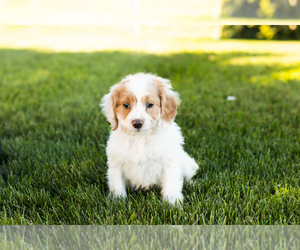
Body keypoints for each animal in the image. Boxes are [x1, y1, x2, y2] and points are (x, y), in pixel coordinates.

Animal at [101, 73, 199, 205]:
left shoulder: (169, 162)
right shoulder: (116, 164)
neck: (140, 138)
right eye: (126, 105)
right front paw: (117, 201)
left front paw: (173, 204)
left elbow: (172, 185)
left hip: (187, 164)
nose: (137, 123)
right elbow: (117, 186)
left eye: (149, 104)